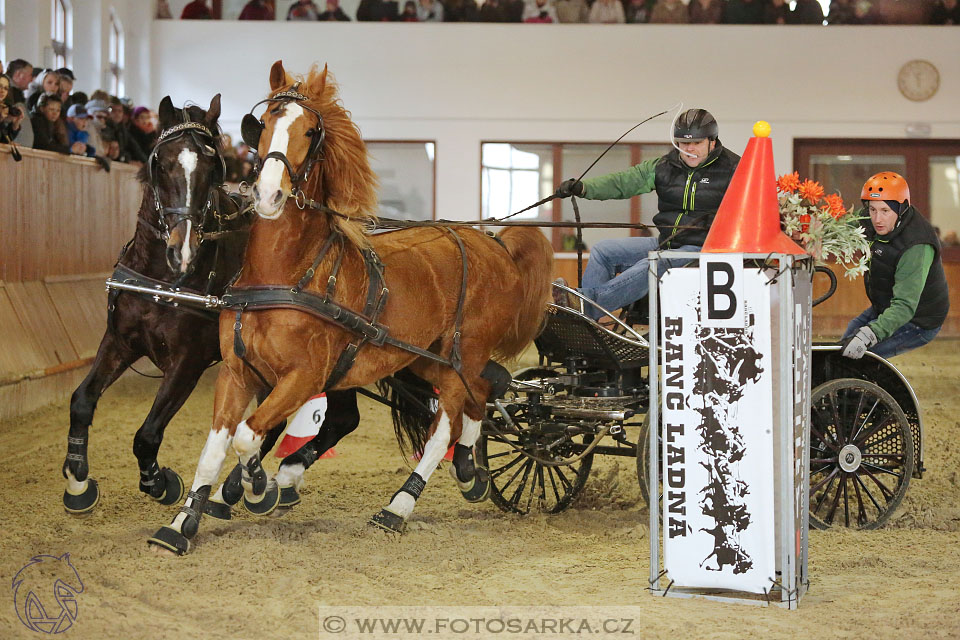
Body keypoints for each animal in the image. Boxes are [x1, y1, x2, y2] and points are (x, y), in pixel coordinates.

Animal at [62, 94, 360, 516]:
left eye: (211, 166)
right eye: (161, 162)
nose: (182, 250)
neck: (168, 281)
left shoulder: (188, 362)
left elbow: (147, 434)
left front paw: (161, 483)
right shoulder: (119, 341)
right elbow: (82, 402)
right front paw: (78, 483)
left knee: (323, 420)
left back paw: (244, 489)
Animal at [151, 63, 556, 556]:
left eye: (310, 131)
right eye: (263, 125)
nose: (267, 194)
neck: (287, 274)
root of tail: (493, 242)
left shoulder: (304, 377)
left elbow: (248, 436)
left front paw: (258, 487)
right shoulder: (236, 371)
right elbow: (213, 451)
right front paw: (180, 524)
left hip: (466, 351)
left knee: (446, 424)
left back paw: (398, 506)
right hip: (425, 358)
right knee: (481, 394)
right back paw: (468, 472)